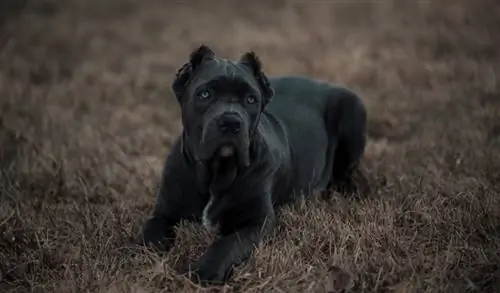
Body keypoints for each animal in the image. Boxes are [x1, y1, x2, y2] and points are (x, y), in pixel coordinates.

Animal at [137, 44, 368, 284]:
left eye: (250, 99)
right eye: (205, 94)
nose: (231, 122)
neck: (216, 173)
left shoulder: (256, 222)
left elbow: (228, 243)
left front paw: (205, 270)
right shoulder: (164, 211)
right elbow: (149, 233)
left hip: (353, 110)